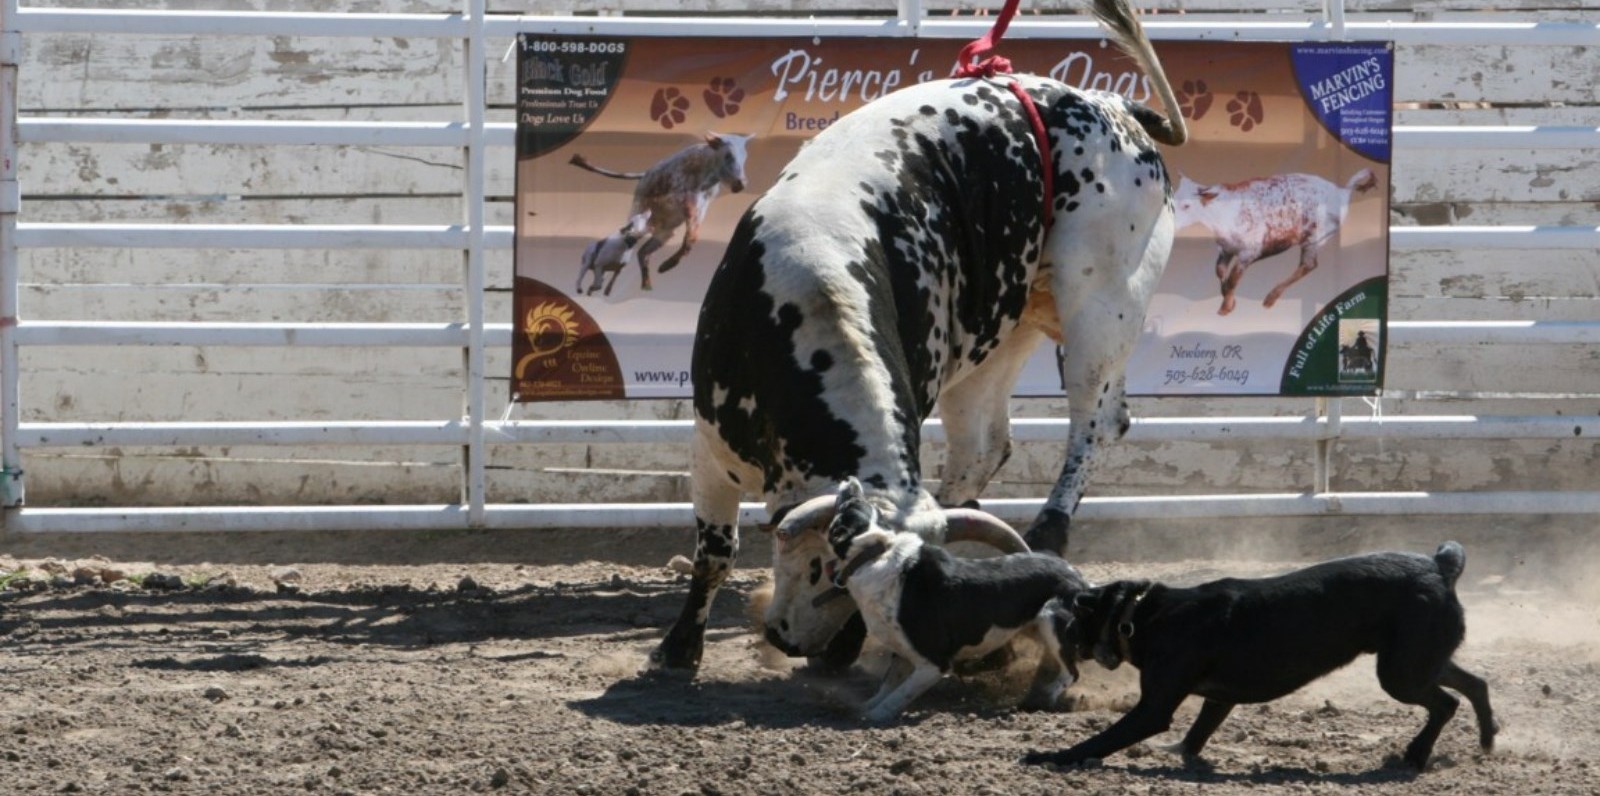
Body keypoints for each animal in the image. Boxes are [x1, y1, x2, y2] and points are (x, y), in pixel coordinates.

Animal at [649, 0, 1190, 671]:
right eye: (827, 566)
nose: (800, 646)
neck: (807, 299)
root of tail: (1111, 106)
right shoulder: (709, 447)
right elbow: (713, 554)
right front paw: (678, 648)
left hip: (1104, 305)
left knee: (1094, 420)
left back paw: (1048, 528)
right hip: (1000, 330)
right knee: (988, 444)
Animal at [819, 476, 1094, 725]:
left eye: (849, 505)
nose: (851, 480)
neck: (874, 554)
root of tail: (1078, 577)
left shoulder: (934, 663)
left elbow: (899, 695)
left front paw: (875, 715)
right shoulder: (903, 652)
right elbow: (887, 685)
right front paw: (865, 706)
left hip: (1051, 619)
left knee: (1071, 673)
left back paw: (1043, 698)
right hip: (1034, 627)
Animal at [1024, 540, 1497, 770]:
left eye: (1073, 617)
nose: (1058, 625)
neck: (1139, 615)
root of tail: (1438, 567)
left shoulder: (1154, 707)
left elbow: (1104, 738)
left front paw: (1050, 757)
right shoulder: (1219, 697)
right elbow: (1200, 730)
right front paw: (1181, 753)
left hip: (1401, 672)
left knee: (1446, 703)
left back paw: (1416, 755)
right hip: (1421, 659)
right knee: (1474, 684)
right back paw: (1488, 739)